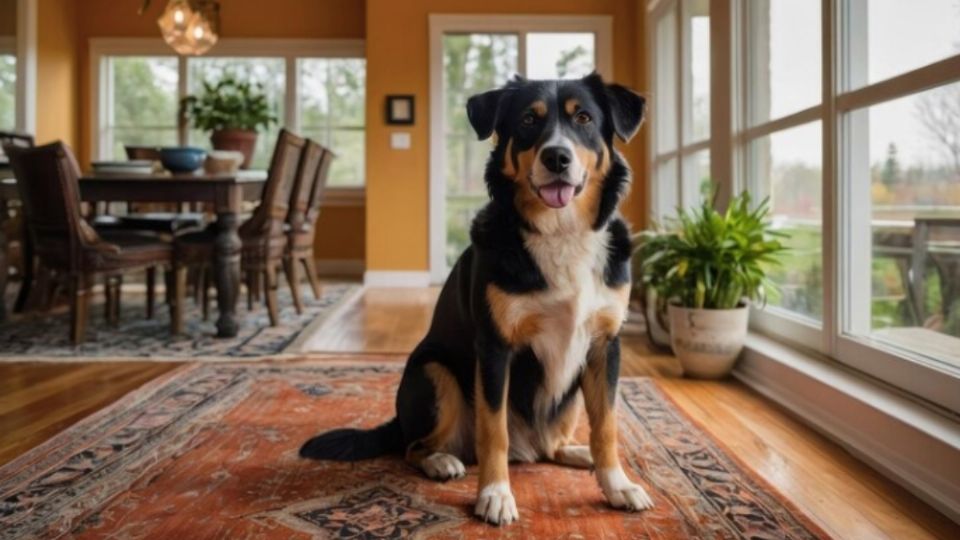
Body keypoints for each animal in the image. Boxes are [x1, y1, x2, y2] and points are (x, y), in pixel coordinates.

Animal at [302, 71, 652, 524]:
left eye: (585, 118)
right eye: (527, 120)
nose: (557, 157)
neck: (560, 231)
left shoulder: (604, 345)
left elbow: (606, 427)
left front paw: (617, 485)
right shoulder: (495, 347)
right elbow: (493, 431)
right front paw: (496, 494)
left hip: (569, 395)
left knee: (551, 445)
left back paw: (576, 453)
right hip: (434, 373)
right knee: (414, 446)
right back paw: (441, 461)